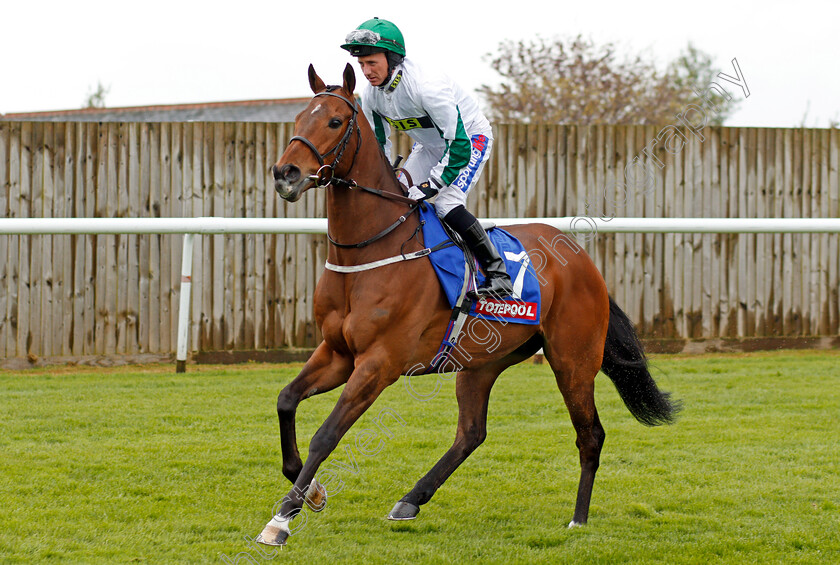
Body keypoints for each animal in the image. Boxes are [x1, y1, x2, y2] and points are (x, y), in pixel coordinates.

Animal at [258, 64, 684, 544]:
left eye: (334, 121)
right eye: (298, 118)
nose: (285, 173)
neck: (368, 251)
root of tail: (582, 259)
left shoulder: (378, 364)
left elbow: (327, 434)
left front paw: (282, 517)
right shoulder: (337, 353)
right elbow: (286, 400)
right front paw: (310, 491)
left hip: (572, 361)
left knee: (590, 434)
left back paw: (578, 518)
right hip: (482, 363)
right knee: (471, 433)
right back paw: (411, 499)